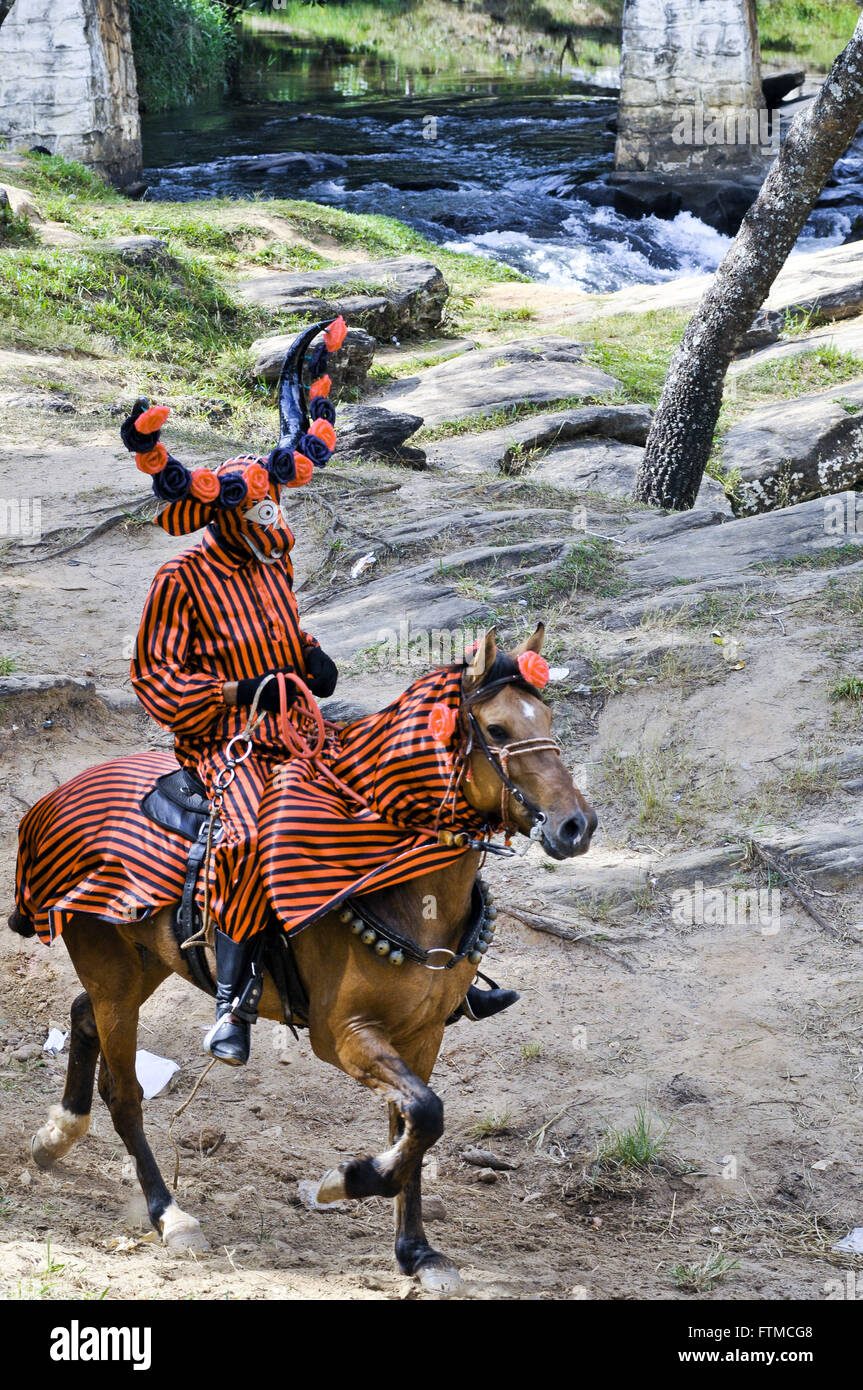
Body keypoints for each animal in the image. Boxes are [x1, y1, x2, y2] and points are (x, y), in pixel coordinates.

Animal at [16, 628, 592, 1289]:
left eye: (547, 719)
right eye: (496, 729)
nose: (576, 825)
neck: (400, 881)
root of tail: (55, 800)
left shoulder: (422, 1034)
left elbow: (416, 1125)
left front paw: (416, 1250)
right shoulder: (342, 1033)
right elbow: (425, 1113)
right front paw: (347, 1180)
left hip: (142, 961)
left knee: (83, 1014)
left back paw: (58, 1134)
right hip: (113, 966)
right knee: (124, 1094)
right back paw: (168, 1213)